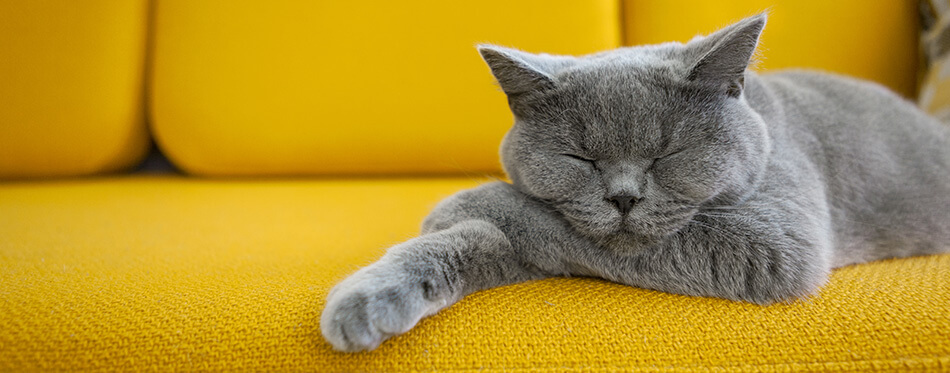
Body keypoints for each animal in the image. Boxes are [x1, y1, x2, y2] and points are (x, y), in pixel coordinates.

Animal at [322, 13, 950, 352]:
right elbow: (483, 242)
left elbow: (536, 216)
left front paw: (464, 200)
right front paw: (367, 301)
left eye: (667, 153)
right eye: (582, 157)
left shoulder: (779, 241)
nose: (623, 196)